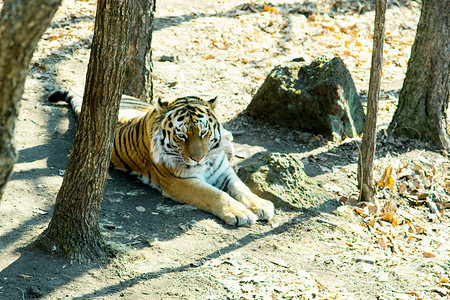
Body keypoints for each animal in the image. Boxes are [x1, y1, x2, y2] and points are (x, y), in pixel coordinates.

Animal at [49, 90, 274, 226]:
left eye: (203, 132)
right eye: (182, 136)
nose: (198, 158)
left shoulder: (224, 171)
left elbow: (242, 188)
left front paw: (261, 205)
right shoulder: (179, 182)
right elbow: (216, 195)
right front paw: (240, 213)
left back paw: (228, 140)